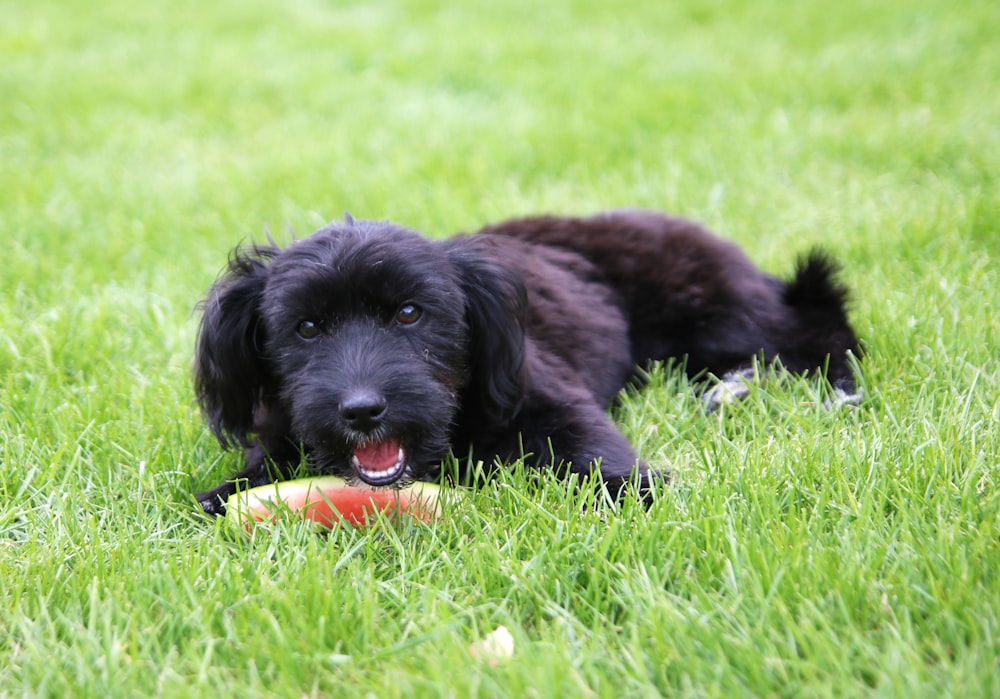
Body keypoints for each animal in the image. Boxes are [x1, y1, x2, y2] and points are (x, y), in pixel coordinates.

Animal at [193, 208, 860, 516]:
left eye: (409, 313)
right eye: (306, 328)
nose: (361, 411)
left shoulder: (556, 406)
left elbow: (599, 458)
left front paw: (642, 494)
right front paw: (224, 499)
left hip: (718, 314)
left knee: (819, 329)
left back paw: (833, 391)